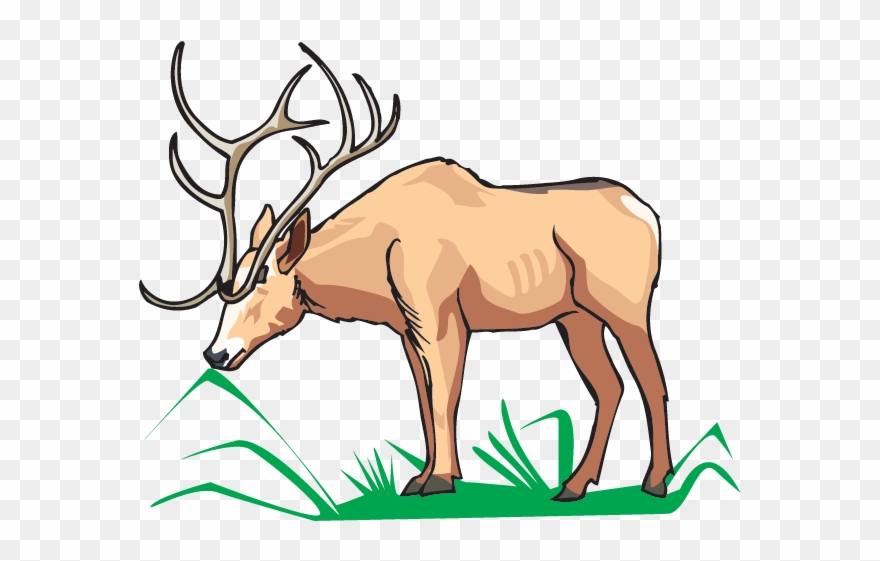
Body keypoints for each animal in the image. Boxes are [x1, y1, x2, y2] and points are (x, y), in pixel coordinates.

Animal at [140, 42, 674, 502]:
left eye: (263, 283)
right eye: (228, 290)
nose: (217, 353)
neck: (372, 267)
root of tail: (650, 214)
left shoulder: (441, 317)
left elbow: (445, 397)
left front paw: (440, 480)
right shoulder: (405, 328)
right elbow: (423, 398)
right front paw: (421, 475)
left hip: (624, 306)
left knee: (651, 379)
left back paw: (655, 481)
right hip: (575, 318)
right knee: (610, 386)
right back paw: (573, 485)